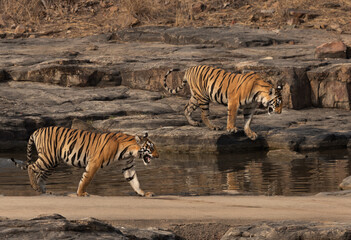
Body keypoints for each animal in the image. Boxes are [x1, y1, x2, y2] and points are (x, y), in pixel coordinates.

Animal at [10, 125, 160, 197]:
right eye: (151, 148)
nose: (158, 156)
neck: (129, 152)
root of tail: (37, 130)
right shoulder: (94, 162)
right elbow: (86, 179)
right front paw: (81, 193)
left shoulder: (127, 167)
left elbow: (134, 181)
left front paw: (143, 193)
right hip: (48, 158)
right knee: (32, 167)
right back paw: (35, 187)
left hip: (53, 162)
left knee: (41, 175)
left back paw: (44, 192)